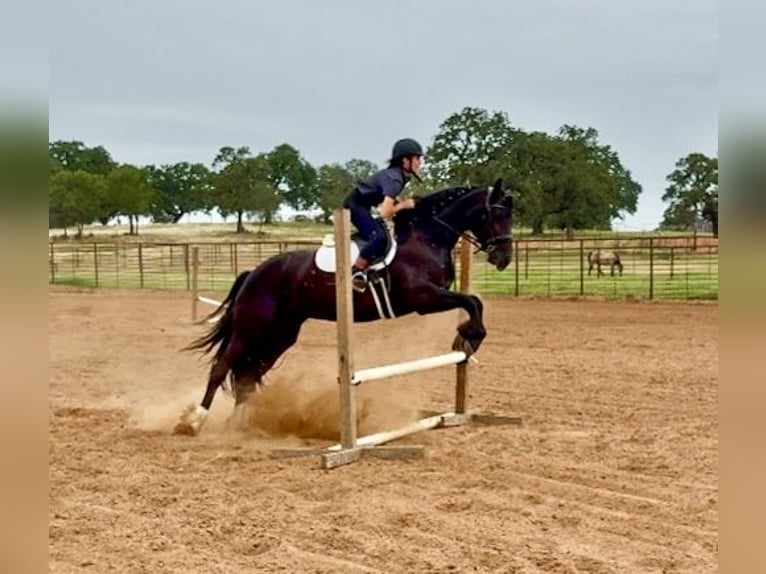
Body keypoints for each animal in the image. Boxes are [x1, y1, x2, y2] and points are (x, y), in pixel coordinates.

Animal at [174, 179, 514, 436]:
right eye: (496, 216)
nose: (504, 259)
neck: (426, 236)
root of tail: (254, 273)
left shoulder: (433, 296)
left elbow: (473, 301)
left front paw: (465, 339)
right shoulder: (423, 298)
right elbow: (470, 301)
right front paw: (469, 336)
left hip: (280, 335)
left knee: (247, 375)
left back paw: (238, 426)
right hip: (251, 329)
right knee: (222, 368)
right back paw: (194, 423)